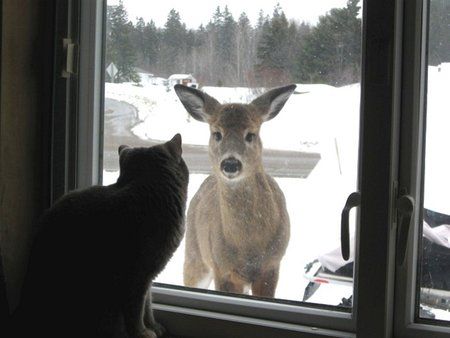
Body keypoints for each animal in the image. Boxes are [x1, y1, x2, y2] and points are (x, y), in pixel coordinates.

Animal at [12, 135, 188, 338]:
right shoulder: (137, 277)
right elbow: (136, 311)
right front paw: (143, 333)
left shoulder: (148, 276)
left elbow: (148, 305)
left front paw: (154, 327)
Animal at [173, 84, 296, 298]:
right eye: (217, 134)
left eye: (250, 135)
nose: (230, 163)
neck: (248, 247)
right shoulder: (222, 270)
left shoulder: (272, 266)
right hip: (195, 254)